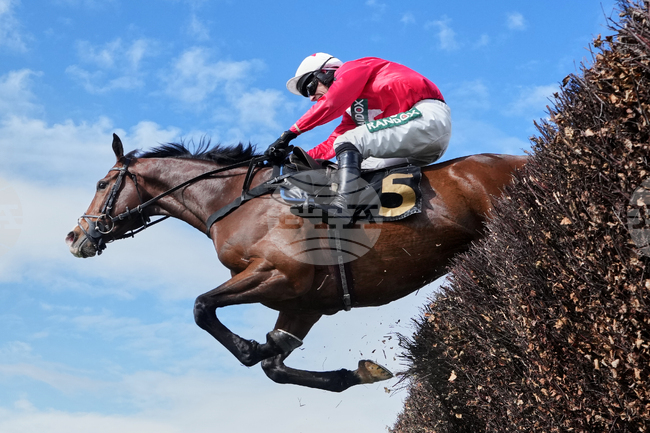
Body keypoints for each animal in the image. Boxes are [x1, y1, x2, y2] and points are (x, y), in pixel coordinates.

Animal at [65, 134, 527, 392]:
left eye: (102, 183)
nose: (74, 237)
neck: (235, 201)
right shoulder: (305, 302)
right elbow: (275, 365)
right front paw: (359, 372)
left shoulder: (279, 274)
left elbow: (202, 307)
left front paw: (248, 347)